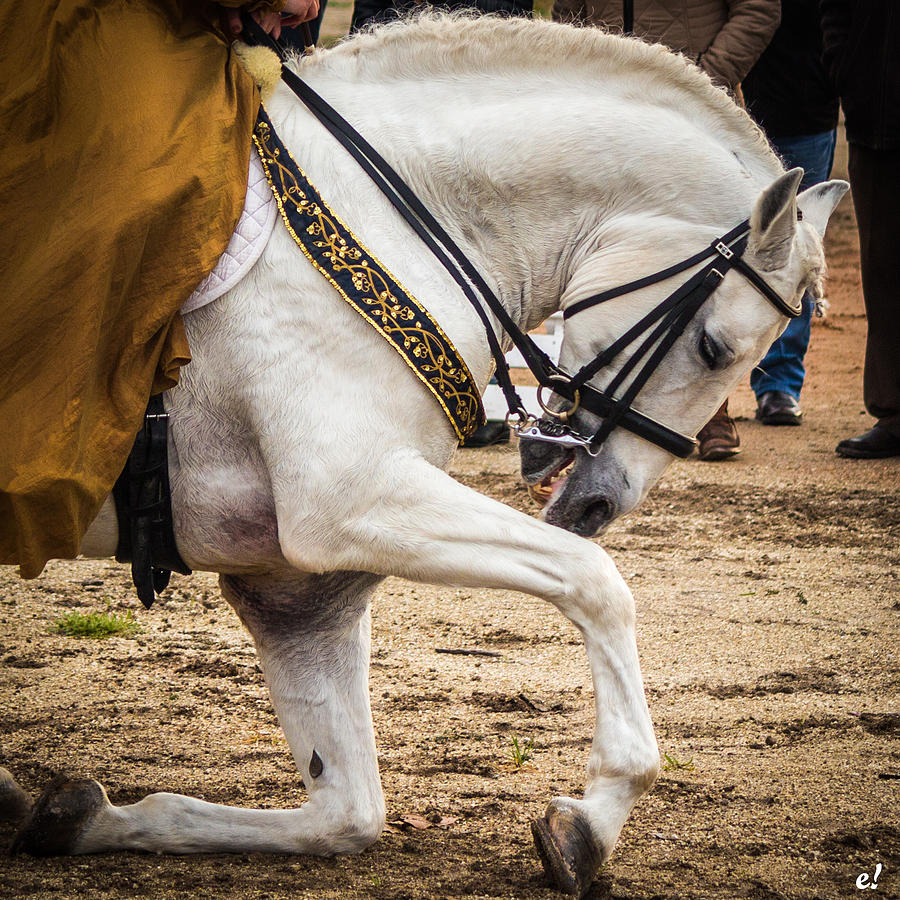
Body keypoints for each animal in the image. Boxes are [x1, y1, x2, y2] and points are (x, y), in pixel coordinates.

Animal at [7, 14, 848, 900]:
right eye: (715, 347)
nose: (599, 505)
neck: (391, 218)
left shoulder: (302, 584)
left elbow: (347, 814)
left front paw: (85, 818)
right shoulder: (348, 502)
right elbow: (595, 582)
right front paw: (597, 813)